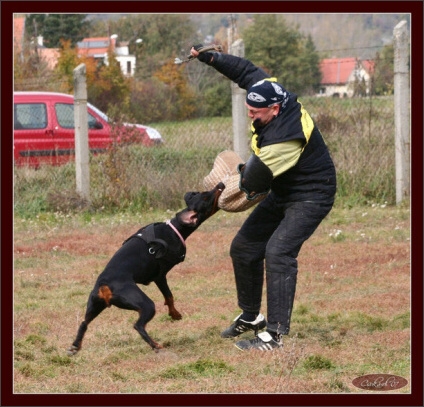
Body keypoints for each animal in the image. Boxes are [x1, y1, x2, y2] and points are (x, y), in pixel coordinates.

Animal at [67, 182, 225, 354]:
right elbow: (169, 296)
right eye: (206, 197)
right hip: (145, 304)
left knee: (84, 323)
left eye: (203, 192)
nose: (220, 184)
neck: (174, 228)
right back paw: (156, 345)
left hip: (95, 305)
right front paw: (174, 314)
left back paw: (75, 346)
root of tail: (105, 286)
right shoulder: (160, 276)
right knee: (138, 326)